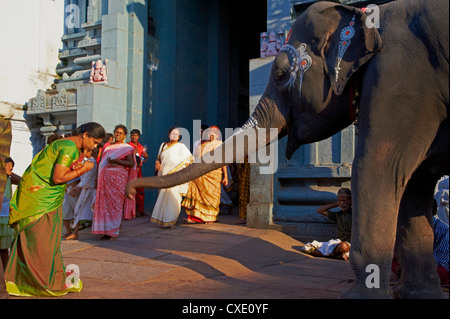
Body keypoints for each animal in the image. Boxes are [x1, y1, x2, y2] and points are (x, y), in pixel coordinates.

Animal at [127, 0, 450, 300]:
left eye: (282, 74)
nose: (131, 189)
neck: (366, 17)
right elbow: (412, 185)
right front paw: (420, 296)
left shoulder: (400, 77)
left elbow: (378, 168)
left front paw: (362, 298)